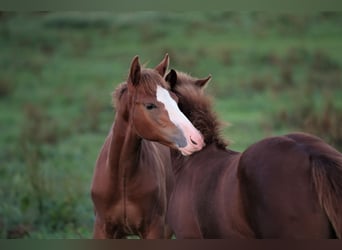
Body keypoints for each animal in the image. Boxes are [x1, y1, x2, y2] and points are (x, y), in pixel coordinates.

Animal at [89, 56, 204, 238]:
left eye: (176, 101)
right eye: (150, 105)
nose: (196, 139)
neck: (122, 178)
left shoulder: (154, 228)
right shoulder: (103, 228)